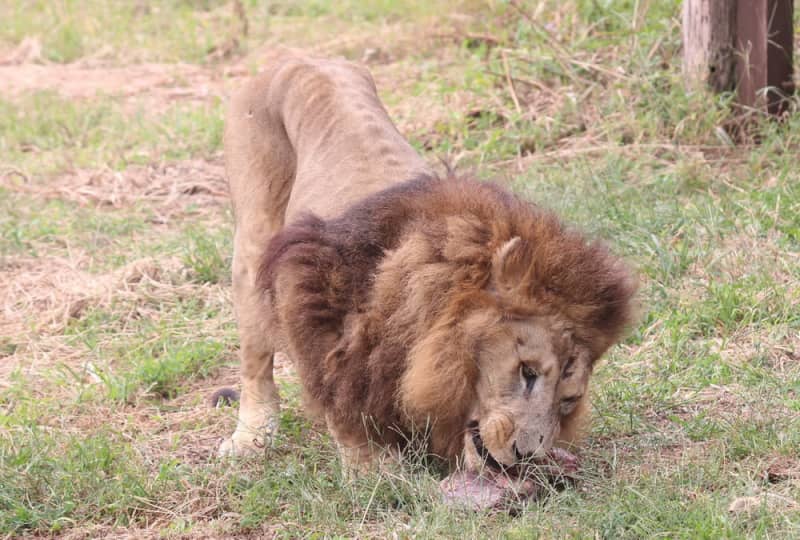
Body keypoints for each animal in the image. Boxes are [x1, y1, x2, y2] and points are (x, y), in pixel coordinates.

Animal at [220, 50, 636, 486]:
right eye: (527, 372)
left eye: (568, 400)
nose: (526, 455)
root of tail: (299, 57)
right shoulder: (309, 279)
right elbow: (340, 391)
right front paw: (371, 471)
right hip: (252, 247)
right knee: (255, 360)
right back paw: (252, 436)